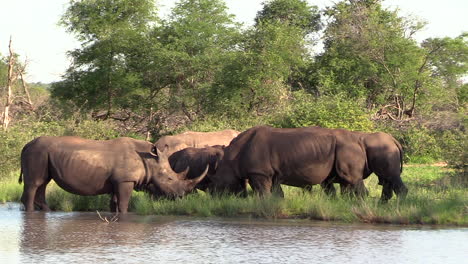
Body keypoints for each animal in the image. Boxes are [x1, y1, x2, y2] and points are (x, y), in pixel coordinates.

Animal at [19, 136, 207, 212]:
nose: (182, 196)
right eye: (169, 179)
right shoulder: (125, 180)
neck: (150, 161)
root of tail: (26, 145)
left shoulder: (117, 181)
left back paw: (47, 211)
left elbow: (115, 202)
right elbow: (123, 203)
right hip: (38, 153)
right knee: (35, 184)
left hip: (42, 154)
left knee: (42, 183)